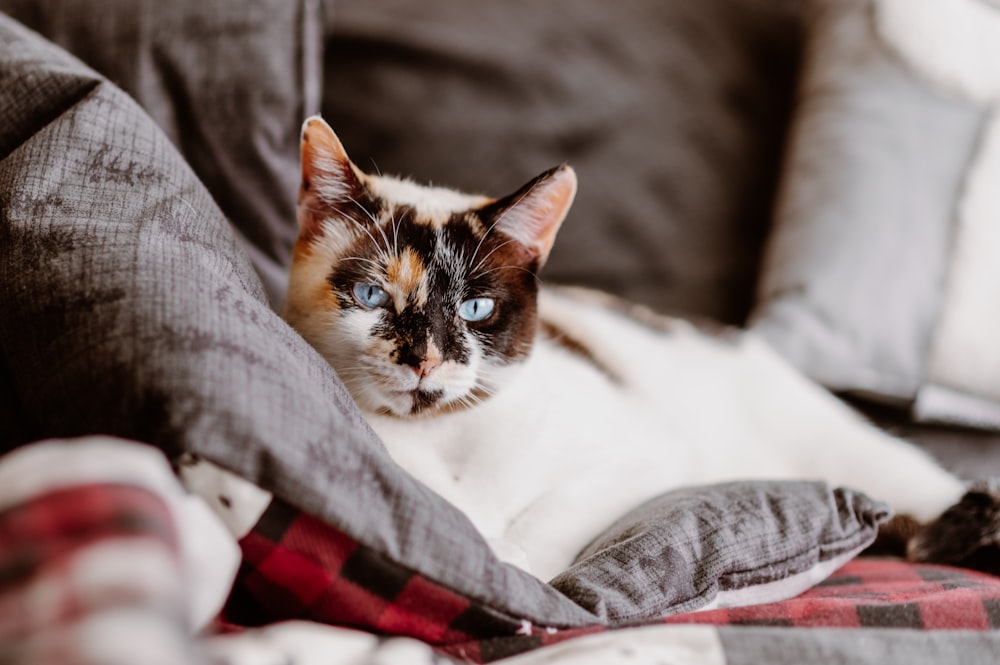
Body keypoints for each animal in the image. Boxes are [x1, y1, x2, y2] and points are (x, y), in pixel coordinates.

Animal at [284, 116, 1000, 584]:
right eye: (371, 296)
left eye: (476, 309)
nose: (425, 360)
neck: (446, 435)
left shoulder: (638, 464)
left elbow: (551, 523)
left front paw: (511, 562)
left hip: (844, 448)